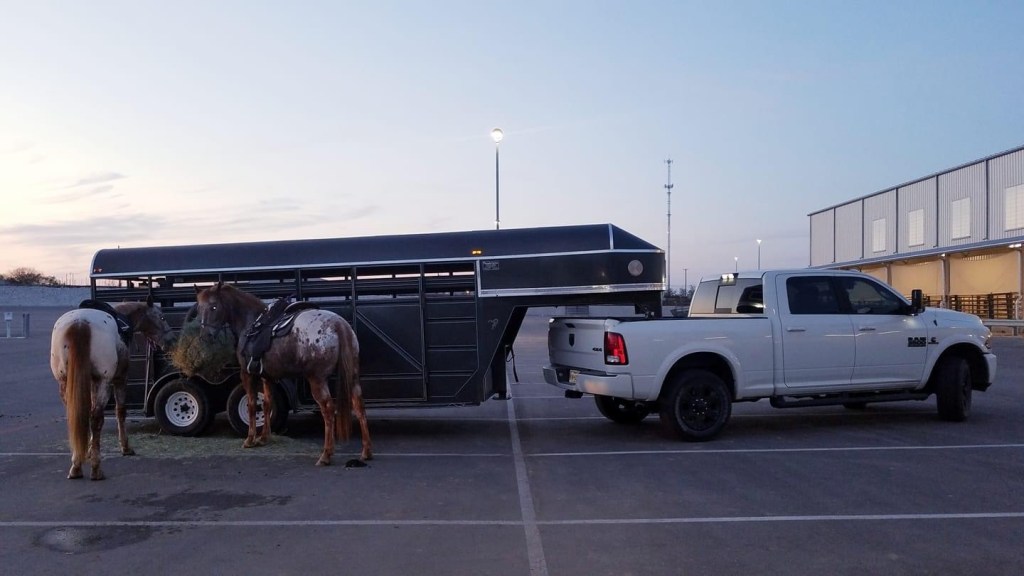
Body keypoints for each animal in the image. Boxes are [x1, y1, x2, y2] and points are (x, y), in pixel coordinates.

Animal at [49, 298, 175, 480]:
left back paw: (76, 465)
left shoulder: (91, 381)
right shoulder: (120, 379)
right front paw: (125, 447)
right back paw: (96, 469)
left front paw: (88, 449)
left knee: (78, 416)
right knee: (96, 419)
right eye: (162, 317)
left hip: (65, 382)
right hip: (104, 382)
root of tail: (80, 324)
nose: (172, 340)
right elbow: (120, 411)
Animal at [194, 283, 372, 466]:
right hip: (352, 376)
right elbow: (266, 404)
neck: (250, 323)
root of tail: (338, 325)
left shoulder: (248, 374)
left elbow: (252, 405)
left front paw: (250, 439)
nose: (205, 336)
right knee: (359, 406)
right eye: (199, 309)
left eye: (214, 307)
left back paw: (326, 455)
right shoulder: (267, 376)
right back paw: (366, 451)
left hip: (317, 379)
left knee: (328, 410)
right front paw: (264, 437)